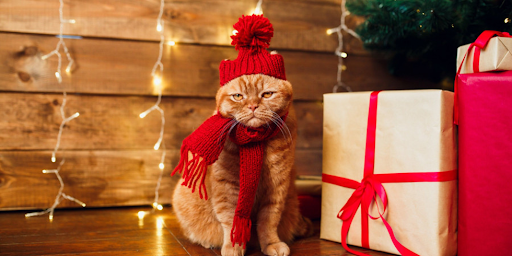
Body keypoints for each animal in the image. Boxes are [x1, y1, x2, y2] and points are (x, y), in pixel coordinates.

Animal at [173, 74, 312, 256]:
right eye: (238, 96)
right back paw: (207, 242)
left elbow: (269, 220)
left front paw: (272, 243)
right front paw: (233, 246)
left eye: (267, 94)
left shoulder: (277, 186)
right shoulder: (226, 186)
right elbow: (231, 219)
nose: (253, 105)